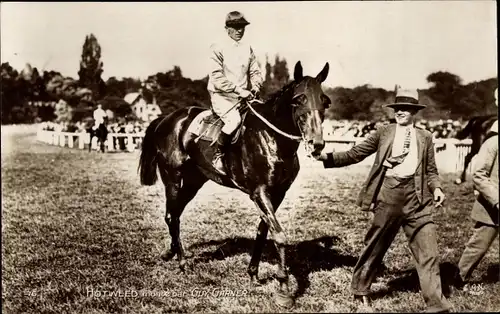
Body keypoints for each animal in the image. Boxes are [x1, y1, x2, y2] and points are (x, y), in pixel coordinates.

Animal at [139, 61, 330, 306]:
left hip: (193, 181)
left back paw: (171, 252)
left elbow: (263, 231)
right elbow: (279, 235)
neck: (271, 137)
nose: (317, 144)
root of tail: (166, 119)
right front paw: (284, 288)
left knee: (174, 214)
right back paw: (182, 263)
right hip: (172, 178)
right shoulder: (260, 192)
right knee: (172, 216)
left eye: (325, 101)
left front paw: (253, 274)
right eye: (298, 99)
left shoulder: (278, 193)